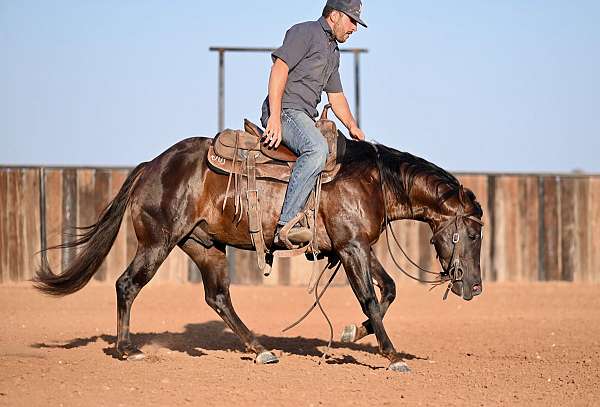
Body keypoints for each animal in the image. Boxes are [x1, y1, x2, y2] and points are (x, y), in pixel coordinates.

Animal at [31, 135, 482, 372]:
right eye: (475, 232)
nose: (475, 288)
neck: (372, 180)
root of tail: (151, 165)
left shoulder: (355, 245)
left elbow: (388, 290)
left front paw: (353, 333)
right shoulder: (352, 247)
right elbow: (371, 298)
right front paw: (392, 356)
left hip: (205, 246)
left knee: (218, 298)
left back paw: (259, 348)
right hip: (157, 242)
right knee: (127, 284)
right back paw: (127, 349)